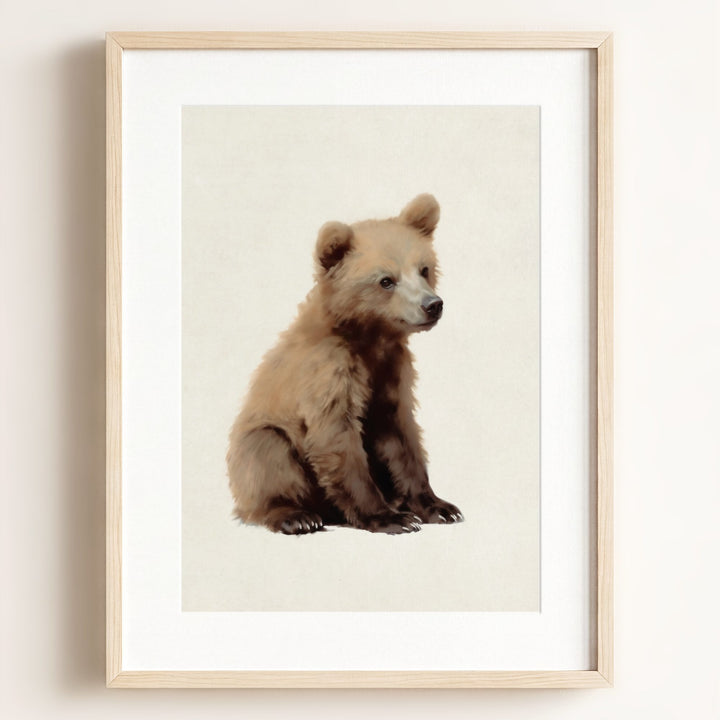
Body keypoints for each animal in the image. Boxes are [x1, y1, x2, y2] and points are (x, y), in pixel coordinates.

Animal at [226, 194, 463, 535]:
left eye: (424, 269)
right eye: (386, 280)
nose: (432, 305)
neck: (370, 338)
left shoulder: (391, 372)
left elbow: (402, 437)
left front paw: (438, 507)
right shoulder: (327, 371)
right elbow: (336, 437)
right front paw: (390, 518)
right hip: (260, 441)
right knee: (266, 452)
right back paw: (296, 515)